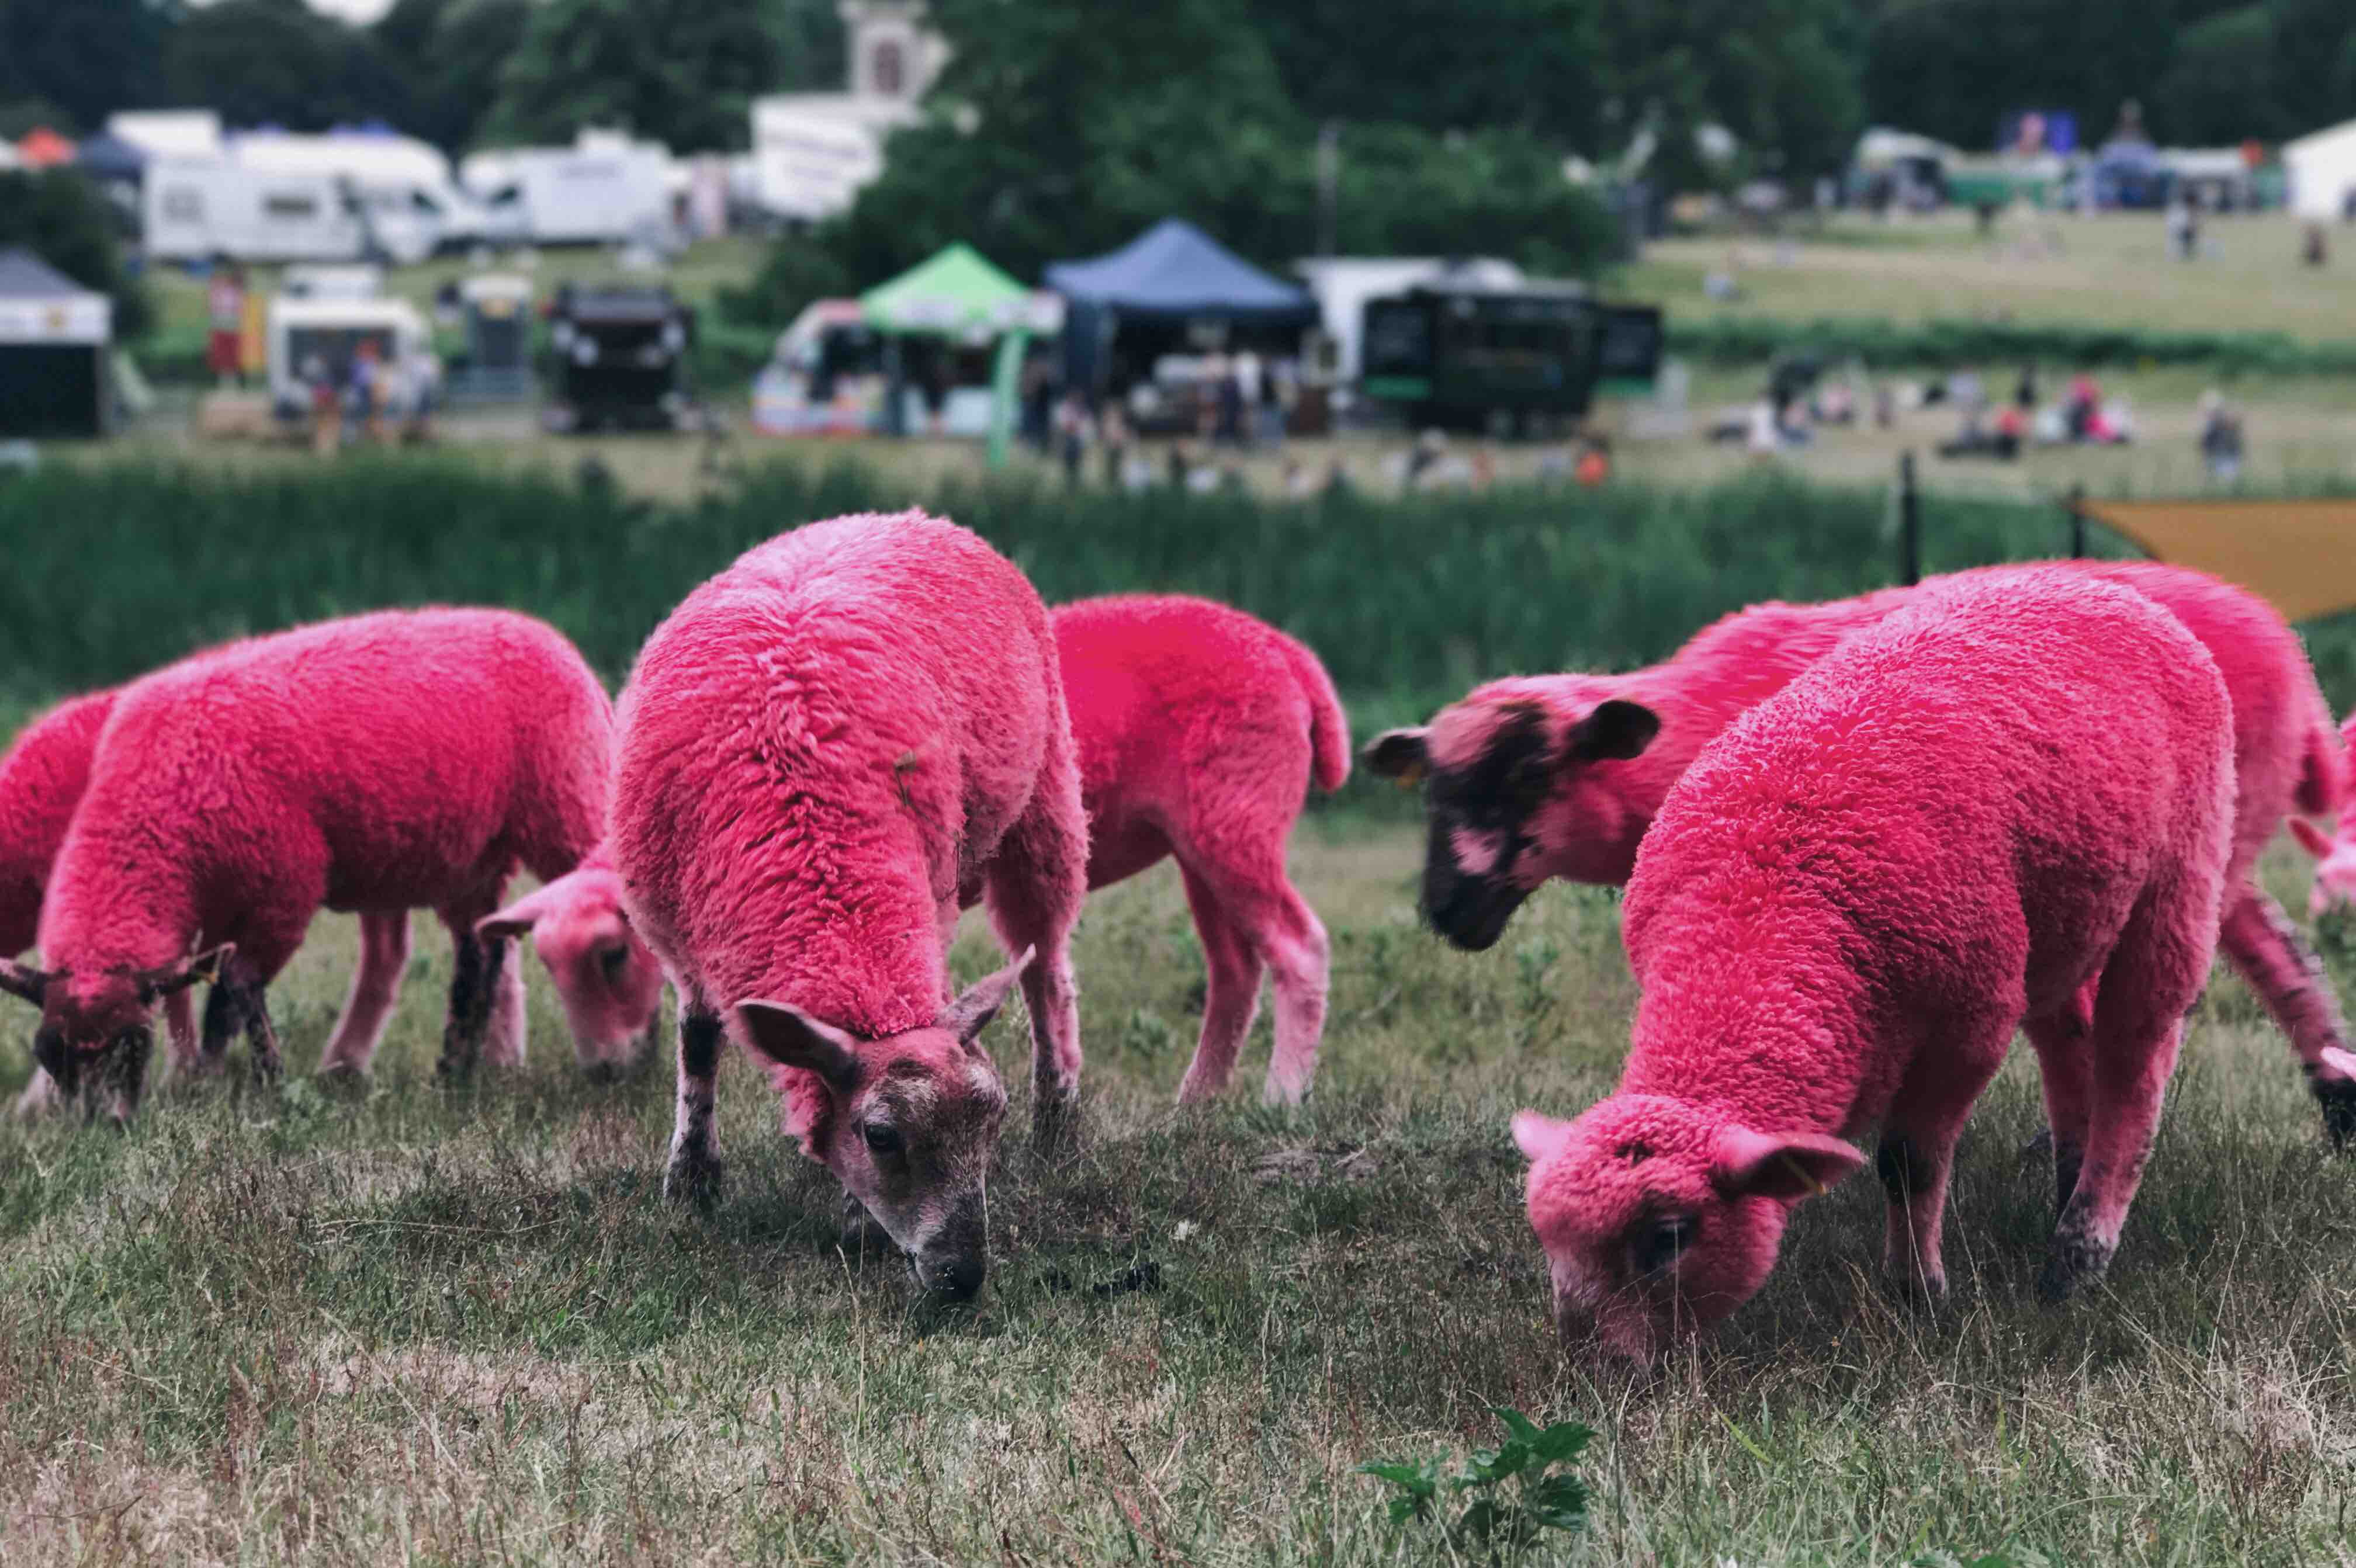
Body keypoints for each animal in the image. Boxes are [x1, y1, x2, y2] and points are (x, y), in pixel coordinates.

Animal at [0, 608, 612, 1121]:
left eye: (131, 1046)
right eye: (51, 1055)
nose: (97, 1127)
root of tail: (549, 638)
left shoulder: (285, 885)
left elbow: (234, 989)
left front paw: (259, 1082)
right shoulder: (217, 901)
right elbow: (210, 991)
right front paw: (204, 1079)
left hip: (565, 804)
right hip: (469, 857)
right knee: (480, 951)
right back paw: (454, 1072)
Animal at [507, 593, 1348, 1107]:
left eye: (614, 955)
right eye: (549, 966)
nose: (605, 1072)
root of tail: (1284, 650)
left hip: (1237, 816)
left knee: (1297, 946)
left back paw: (1283, 1096)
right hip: (1204, 839)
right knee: (1235, 968)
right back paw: (1195, 1102)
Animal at [609, 510, 1088, 1299]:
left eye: (992, 1120)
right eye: (882, 1136)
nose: (963, 1275)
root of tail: (909, 514)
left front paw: (855, 1220)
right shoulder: (681, 933)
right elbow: (698, 1041)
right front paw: (692, 1181)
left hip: (1046, 799)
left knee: (1047, 968)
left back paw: (1060, 1120)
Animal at [1370, 561, 2356, 1140]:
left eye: (1534, 774)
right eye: (1432, 788)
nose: (1448, 909)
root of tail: (2294, 661)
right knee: (2280, 953)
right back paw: (2335, 1100)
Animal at [1513, 570, 2235, 1361]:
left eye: (1669, 1235)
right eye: (1546, 1236)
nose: (1592, 1365)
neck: (1760, 908)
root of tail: (2097, 582)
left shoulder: (1969, 1022)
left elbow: (1907, 1160)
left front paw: (1918, 1293)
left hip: (2180, 871)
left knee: (2136, 1055)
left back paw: (2077, 1255)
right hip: (2058, 920)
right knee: (2069, 1040)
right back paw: (2067, 1185)